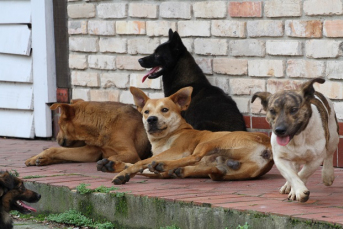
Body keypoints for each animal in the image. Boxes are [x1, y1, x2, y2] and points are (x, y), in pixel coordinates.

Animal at [111, 86, 276, 184]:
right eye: (146, 112)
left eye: (165, 110)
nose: (151, 119)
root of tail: (267, 144)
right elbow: (142, 166)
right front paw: (119, 167)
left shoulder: (177, 151)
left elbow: (141, 162)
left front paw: (125, 172)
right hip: (228, 170)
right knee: (214, 172)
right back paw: (179, 170)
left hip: (212, 142)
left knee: (195, 157)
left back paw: (165, 165)